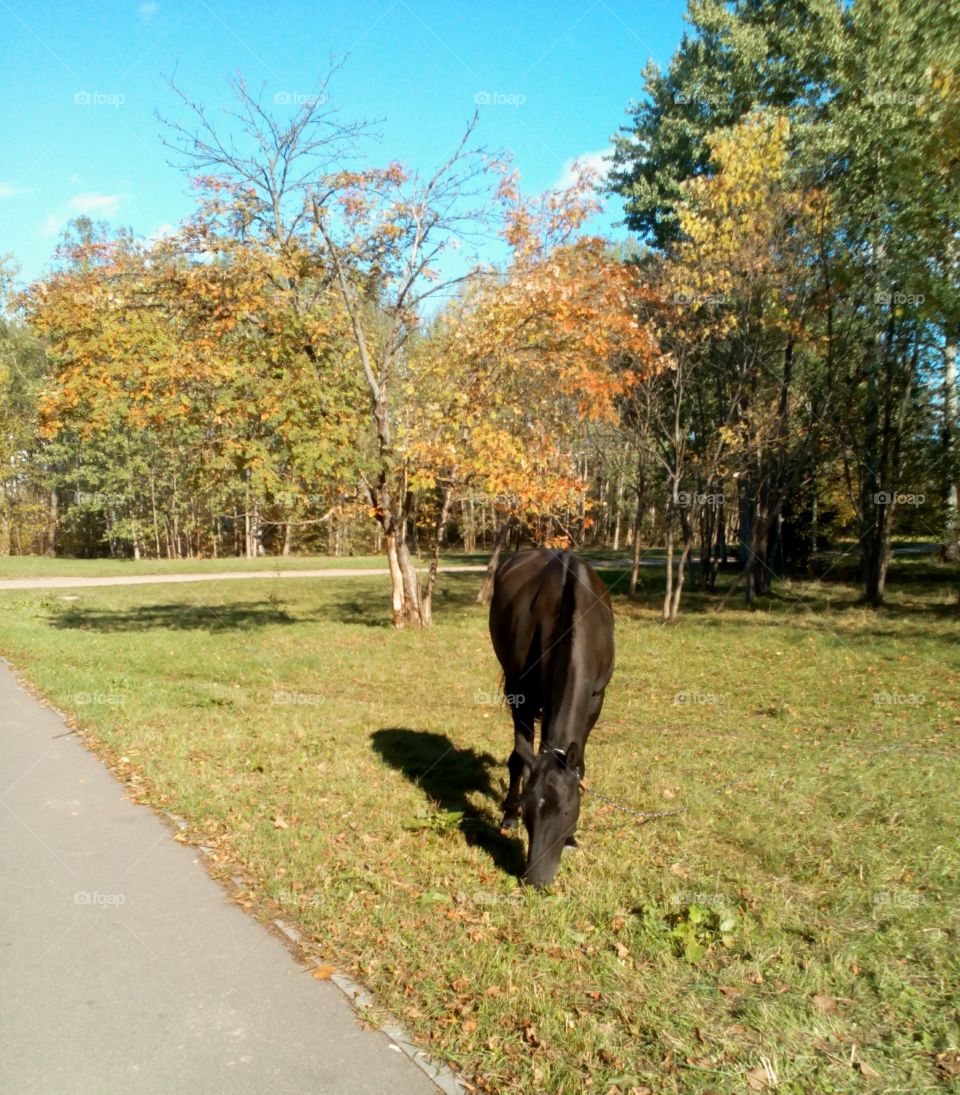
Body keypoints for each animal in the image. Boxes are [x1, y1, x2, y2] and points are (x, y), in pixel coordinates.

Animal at [486, 547, 612, 889]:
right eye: (529, 810)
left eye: (567, 812)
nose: (536, 879)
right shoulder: (521, 694)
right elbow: (519, 756)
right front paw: (510, 815)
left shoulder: (596, 699)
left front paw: (572, 839)